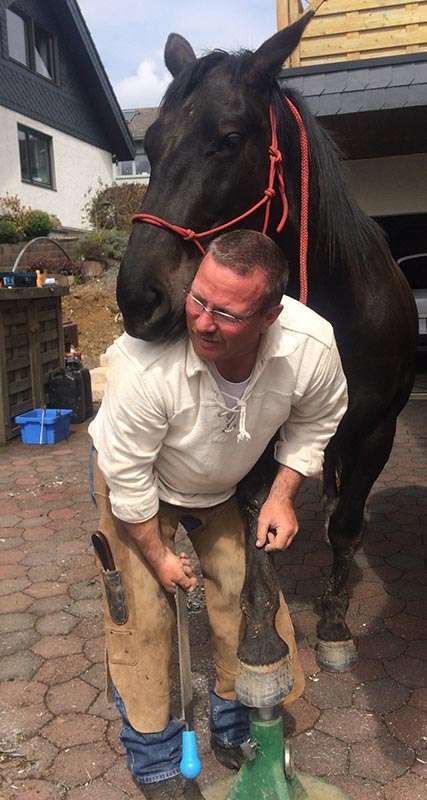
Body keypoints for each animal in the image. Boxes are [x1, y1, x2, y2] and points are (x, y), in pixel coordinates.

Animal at [116, 9, 418, 692]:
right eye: (151, 145)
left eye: (228, 138)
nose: (139, 298)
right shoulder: (259, 434)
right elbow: (255, 519)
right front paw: (260, 638)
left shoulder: (375, 430)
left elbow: (346, 523)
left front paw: (333, 623)